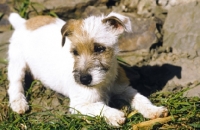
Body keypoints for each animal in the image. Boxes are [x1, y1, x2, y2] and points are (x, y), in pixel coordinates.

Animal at [7, 12, 167, 126]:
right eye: (75, 52)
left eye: (99, 49)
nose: (83, 80)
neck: (104, 82)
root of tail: (24, 22)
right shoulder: (79, 105)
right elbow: (99, 106)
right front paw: (114, 115)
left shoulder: (124, 89)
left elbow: (141, 98)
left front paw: (154, 110)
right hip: (17, 63)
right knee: (15, 84)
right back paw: (19, 104)